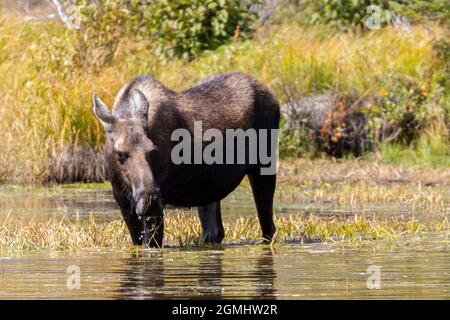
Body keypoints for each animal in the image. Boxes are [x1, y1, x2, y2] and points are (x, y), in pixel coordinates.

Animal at [93, 72, 280, 248]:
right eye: (119, 154)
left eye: (154, 149)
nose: (149, 199)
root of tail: (275, 100)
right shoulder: (123, 203)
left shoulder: (157, 207)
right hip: (210, 189)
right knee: (214, 232)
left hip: (264, 168)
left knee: (268, 229)